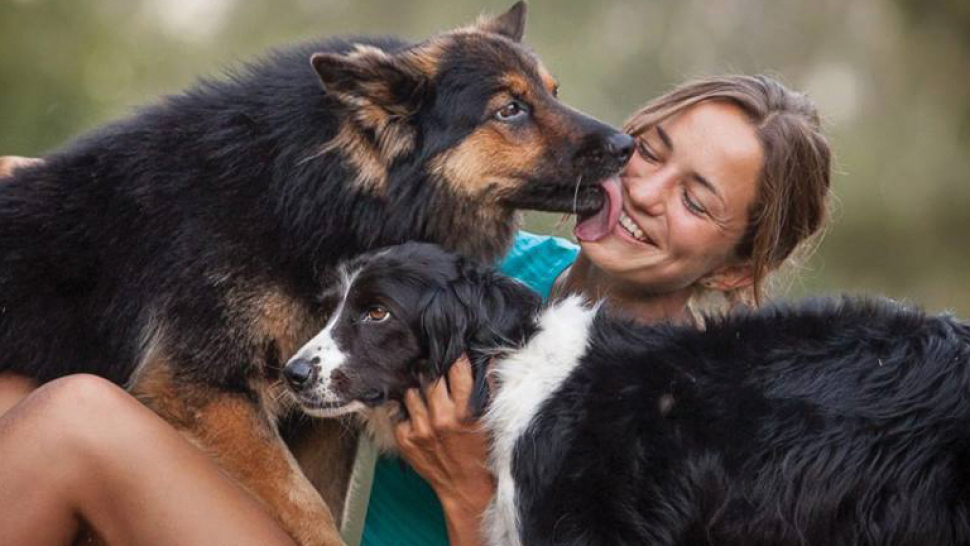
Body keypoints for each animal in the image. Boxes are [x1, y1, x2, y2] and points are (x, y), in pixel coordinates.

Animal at [0, 3, 632, 540]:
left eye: (552, 93)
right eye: (510, 109)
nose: (627, 145)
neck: (321, 193)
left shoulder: (326, 412)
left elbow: (318, 495)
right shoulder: (198, 388)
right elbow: (304, 506)